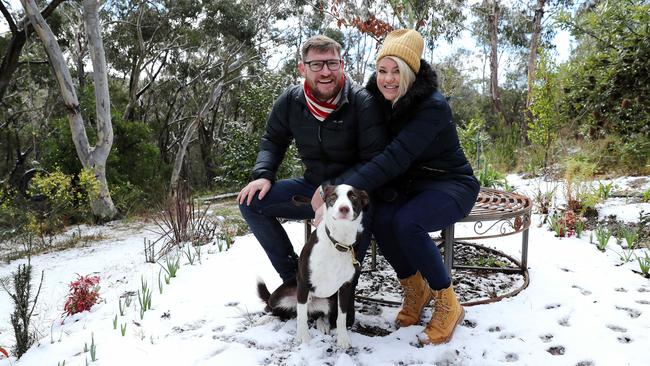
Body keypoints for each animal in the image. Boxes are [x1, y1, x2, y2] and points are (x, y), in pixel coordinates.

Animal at [258, 184, 370, 348]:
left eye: (353, 197)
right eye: (333, 197)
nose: (344, 208)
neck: (337, 243)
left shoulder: (345, 287)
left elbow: (341, 317)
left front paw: (343, 339)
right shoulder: (304, 283)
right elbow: (301, 316)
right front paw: (303, 338)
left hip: (330, 301)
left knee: (318, 315)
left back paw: (322, 324)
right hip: (278, 296)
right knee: (282, 312)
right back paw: (266, 318)